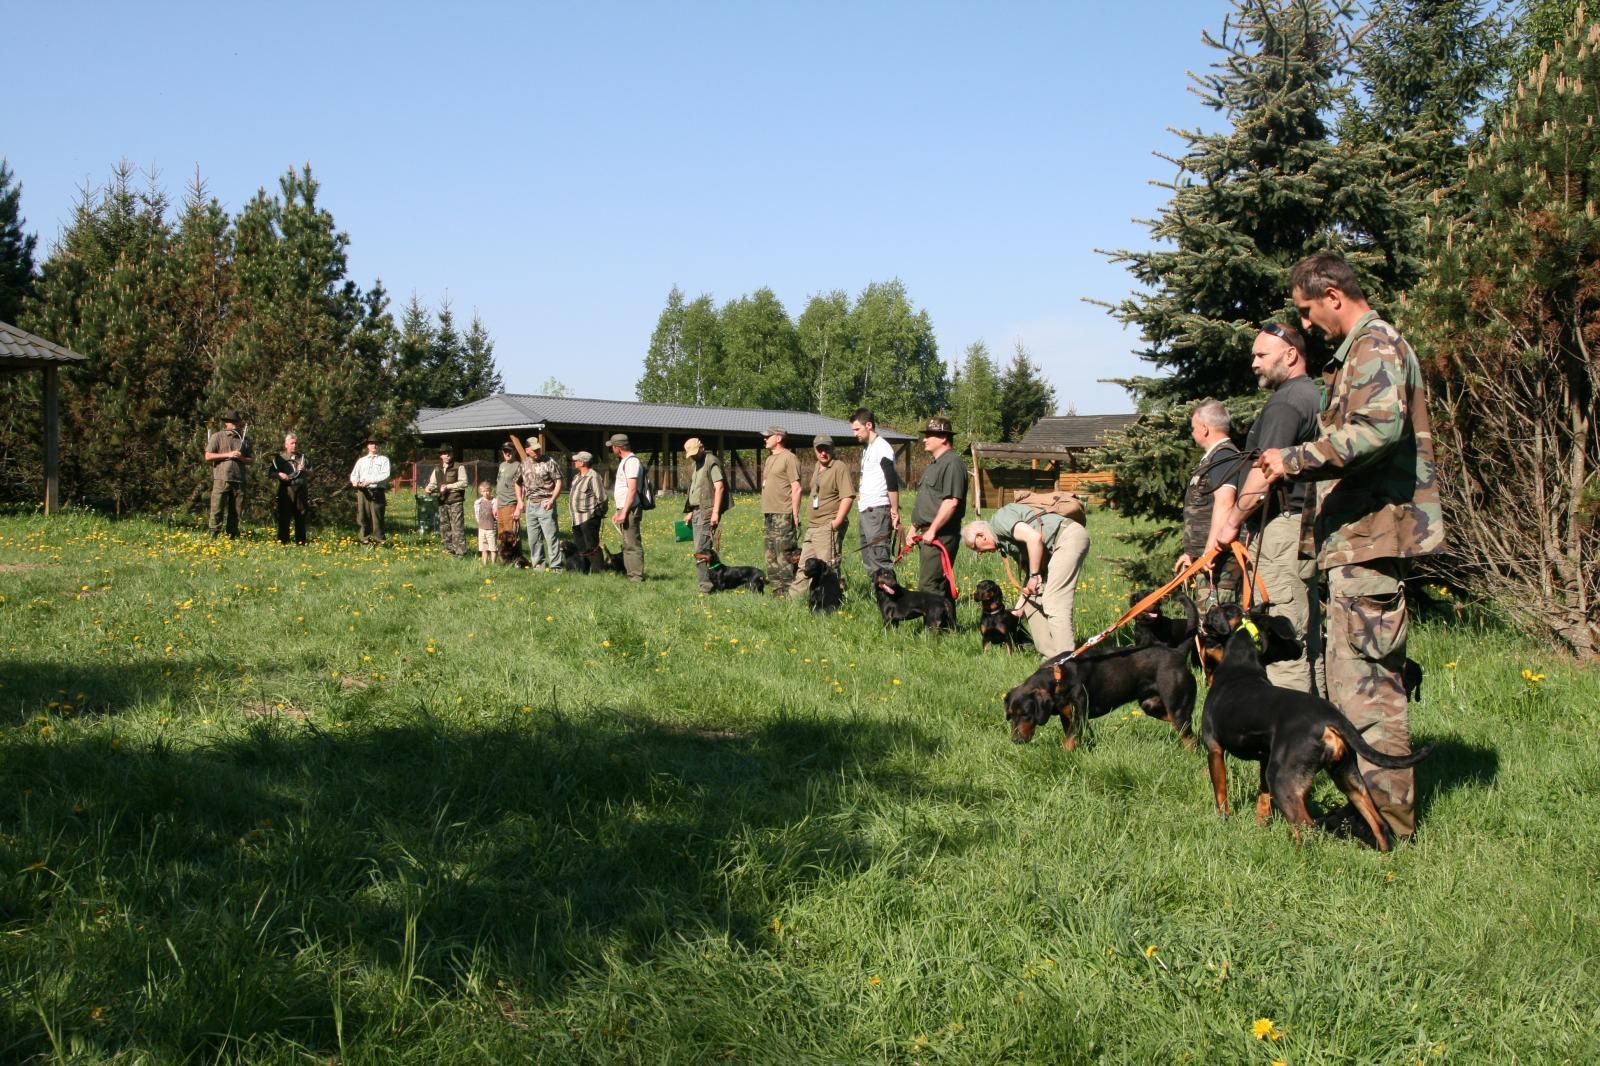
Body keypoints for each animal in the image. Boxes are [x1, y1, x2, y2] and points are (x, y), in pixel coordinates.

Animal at [998, 633, 1203, 752]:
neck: (1058, 677)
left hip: (1176, 708)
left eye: (1026, 714)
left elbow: (1069, 742)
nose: (1015, 740)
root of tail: (1178, 653)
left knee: (1189, 737)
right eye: (1010, 715)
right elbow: (1069, 738)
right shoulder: (1067, 716)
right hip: (1151, 705)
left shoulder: (1079, 716)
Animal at [1196, 601, 1433, 851]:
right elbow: (1262, 801)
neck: (1239, 666)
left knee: (1307, 829)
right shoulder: (1264, 759)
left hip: (1283, 779)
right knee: (1379, 824)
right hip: (1348, 777)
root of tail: (1330, 717)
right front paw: (1260, 829)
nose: (1301, 645)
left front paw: (1224, 821)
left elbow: (1221, 794)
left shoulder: (1214, 749)